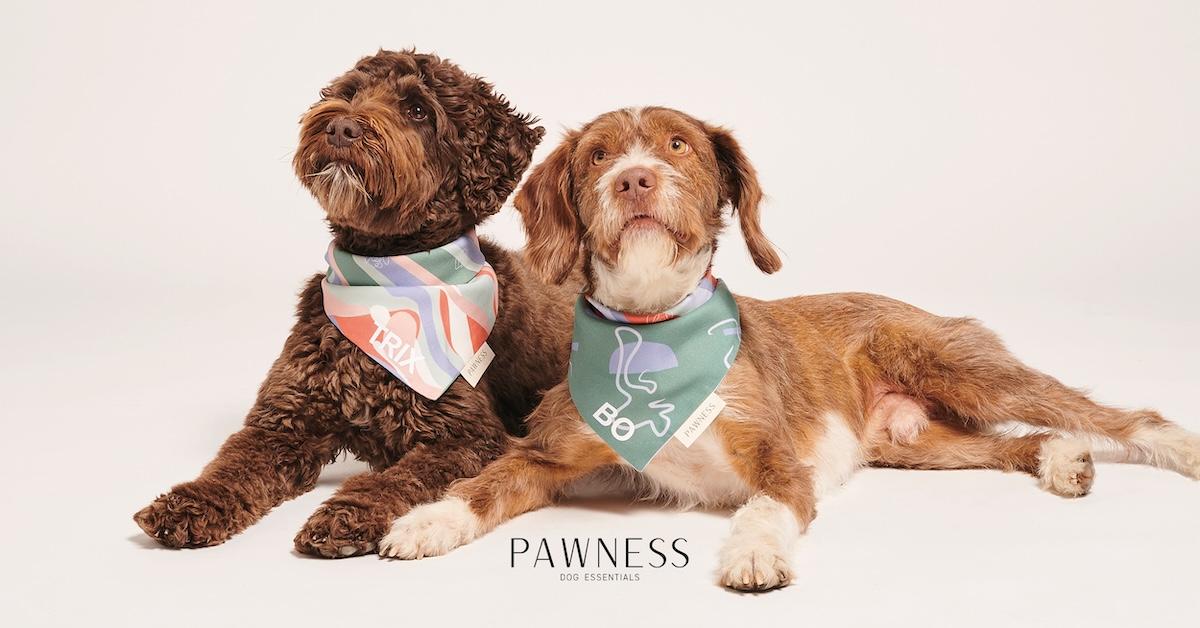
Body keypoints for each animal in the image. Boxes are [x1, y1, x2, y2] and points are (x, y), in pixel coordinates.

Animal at [136, 50, 576, 559]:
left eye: (418, 110)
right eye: (349, 93)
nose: (341, 127)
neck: (384, 275)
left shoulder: (468, 437)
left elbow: (398, 479)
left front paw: (348, 514)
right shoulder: (281, 422)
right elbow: (233, 464)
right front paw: (190, 502)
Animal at [376, 105, 1200, 593]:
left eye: (678, 144)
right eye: (599, 155)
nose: (635, 178)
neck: (653, 327)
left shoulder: (777, 454)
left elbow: (771, 502)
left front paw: (752, 552)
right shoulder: (548, 453)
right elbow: (484, 485)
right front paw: (427, 521)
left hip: (962, 367)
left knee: (1111, 413)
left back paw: (1175, 448)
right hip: (911, 442)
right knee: (1005, 445)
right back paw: (1059, 459)